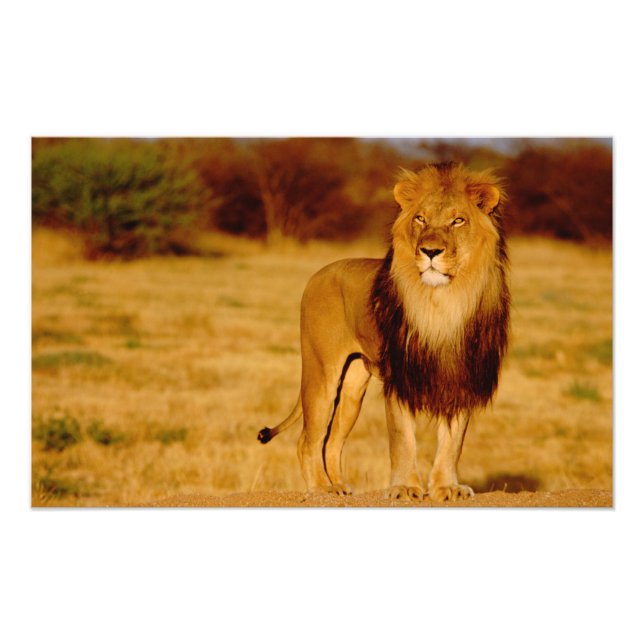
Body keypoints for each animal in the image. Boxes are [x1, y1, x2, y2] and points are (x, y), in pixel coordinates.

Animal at [258, 162, 510, 502]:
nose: (430, 251)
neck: (442, 303)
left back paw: (339, 486)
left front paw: (446, 487)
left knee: (332, 441)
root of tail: (319, 273)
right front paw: (404, 487)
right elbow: (403, 438)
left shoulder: (461, 375)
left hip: (353, 386)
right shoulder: (399, 377)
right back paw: (321, 489)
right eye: (420, 218)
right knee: (308, 439)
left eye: (458, 220)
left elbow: (453, 441)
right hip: (321, 373)